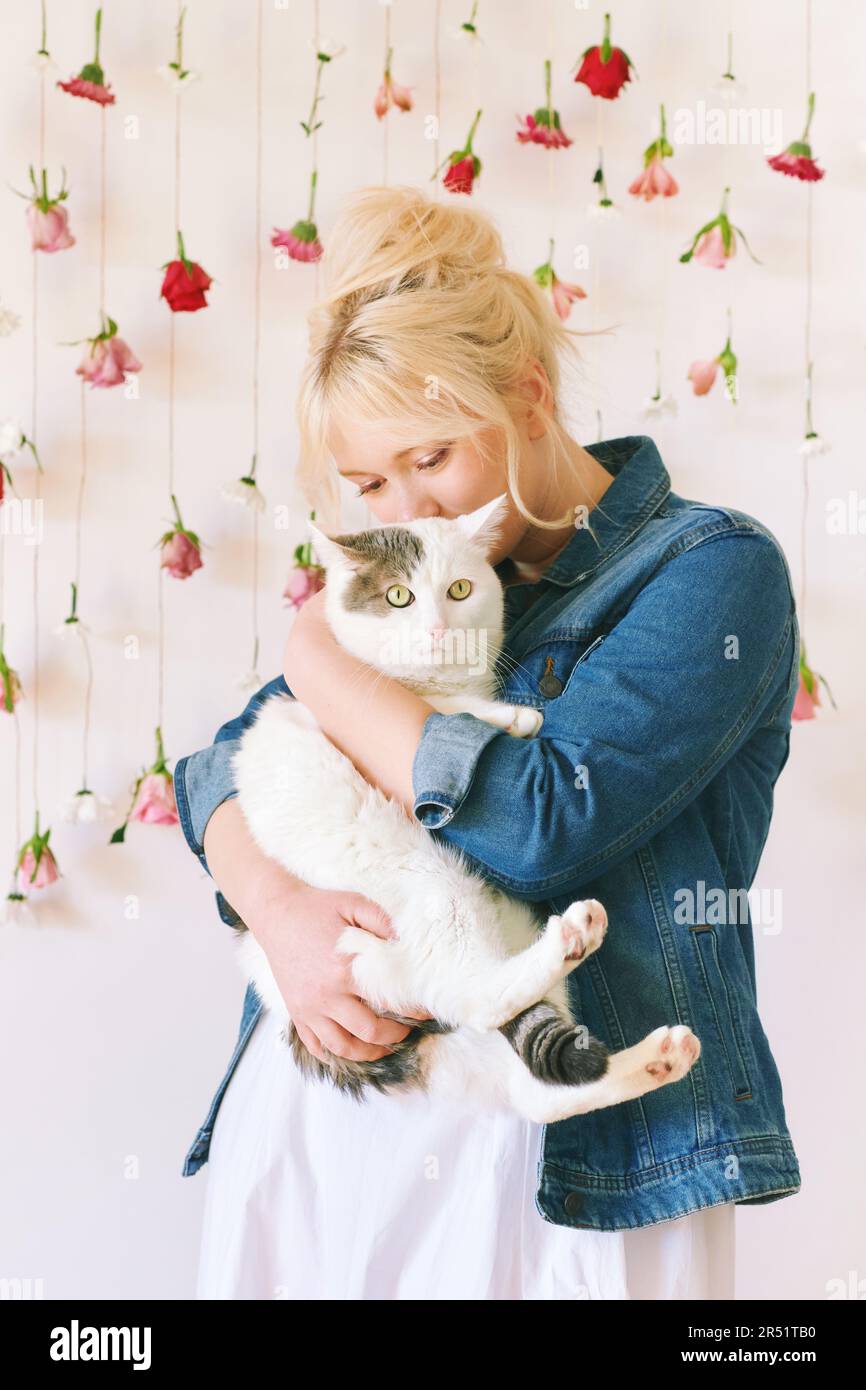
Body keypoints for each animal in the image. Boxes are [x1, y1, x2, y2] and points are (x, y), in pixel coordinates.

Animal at [229, 494, 697, 1123]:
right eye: (398, 596)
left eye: (458, 590)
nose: (438, 630)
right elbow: (440, 708)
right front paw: (508, 715)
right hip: (429, 894)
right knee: (477, 998)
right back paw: (575, 939)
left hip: (505, 926)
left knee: (534, 1087)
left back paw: (658, 1057)